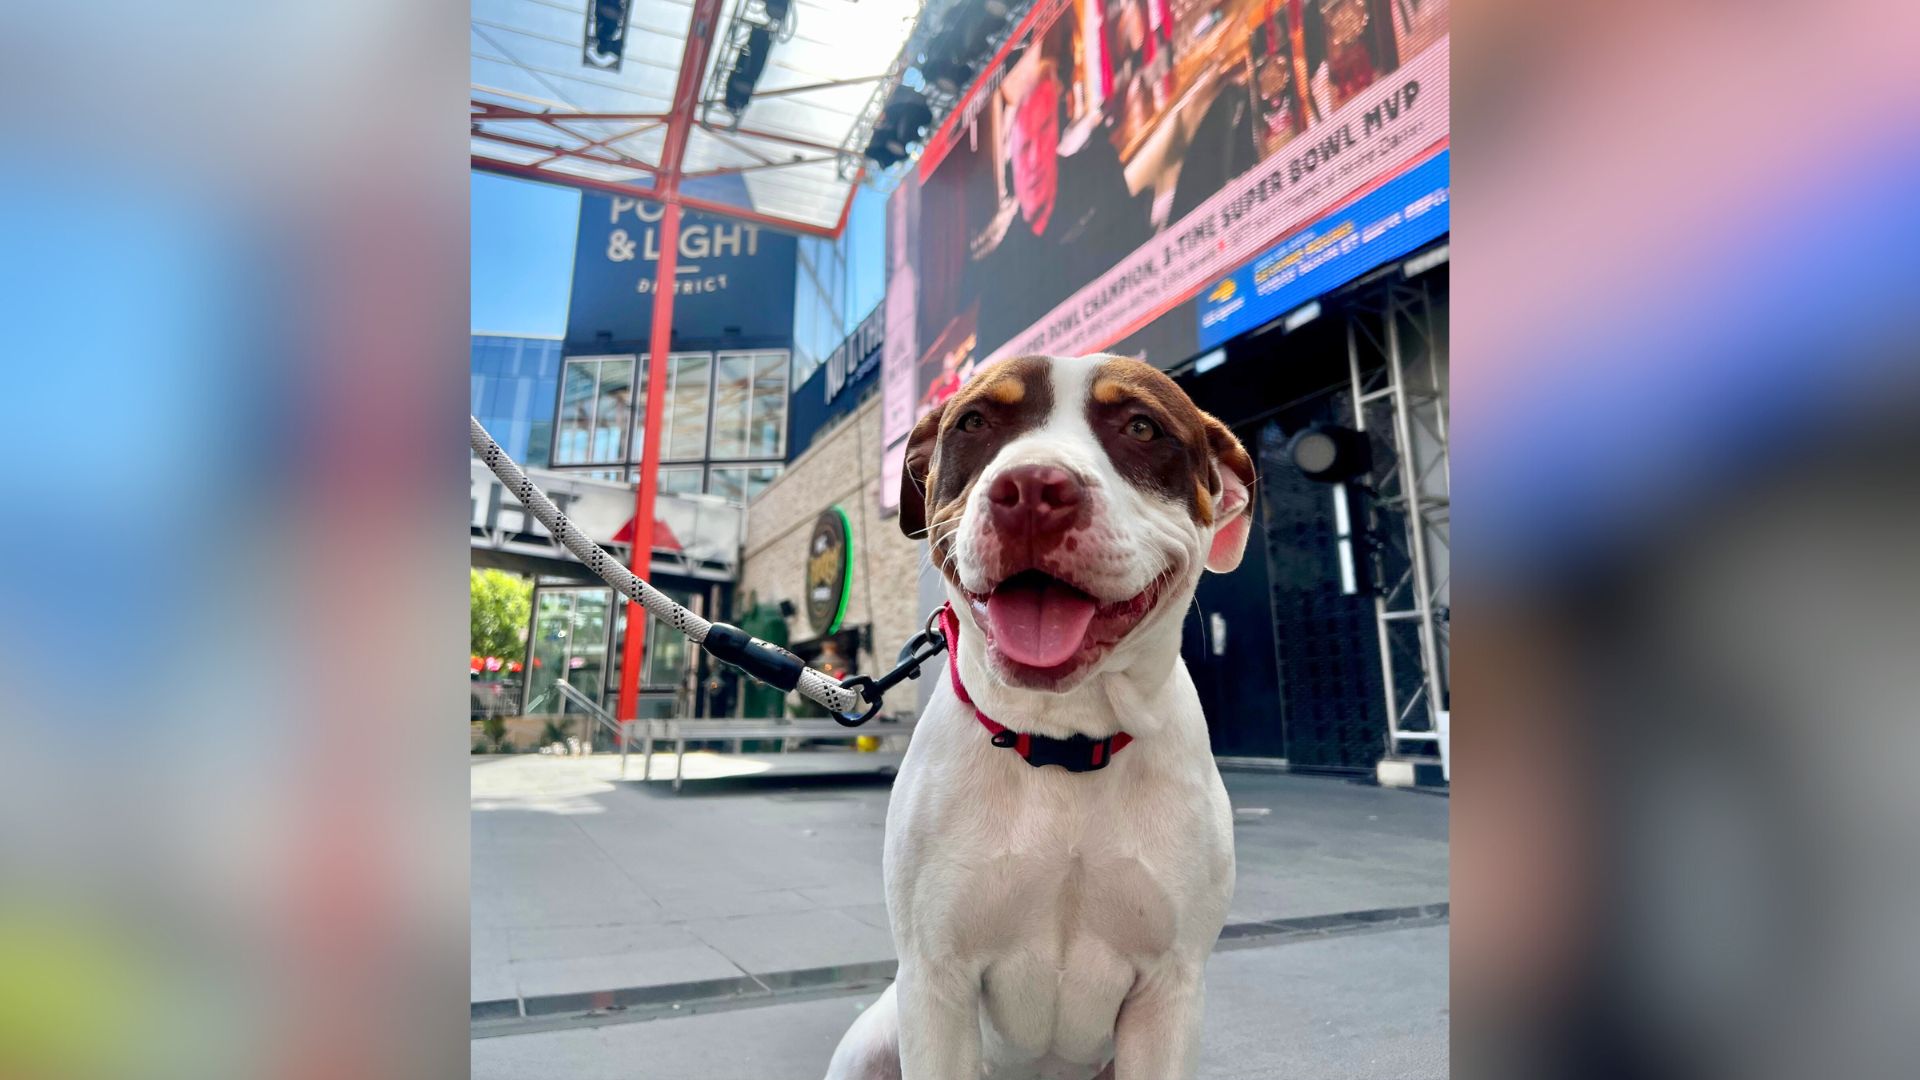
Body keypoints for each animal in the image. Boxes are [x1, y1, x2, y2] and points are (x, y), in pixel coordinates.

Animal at [829, 355, 1259, 1076]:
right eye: (974, 422)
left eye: (1141, 426)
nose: (1032, 487)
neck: (1063, 738)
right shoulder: (937, 981)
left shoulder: (1169, 990)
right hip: (872, 1042)